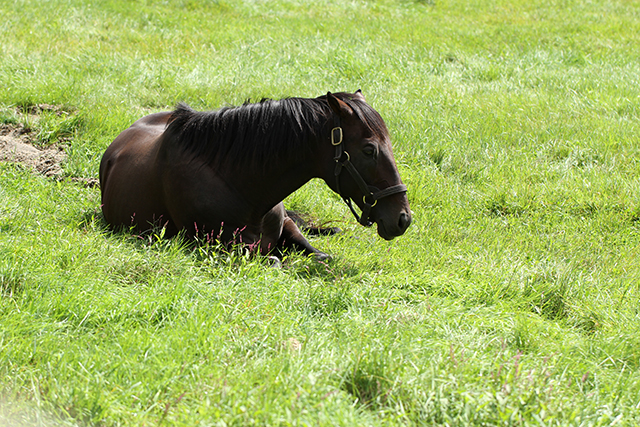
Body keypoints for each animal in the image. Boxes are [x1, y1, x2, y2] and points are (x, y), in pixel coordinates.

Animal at [98, 91, 412, 260]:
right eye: (369, 150)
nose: (403, 219)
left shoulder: (286, 226)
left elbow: (318, 253)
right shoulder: (218, 246)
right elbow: (274, 260)